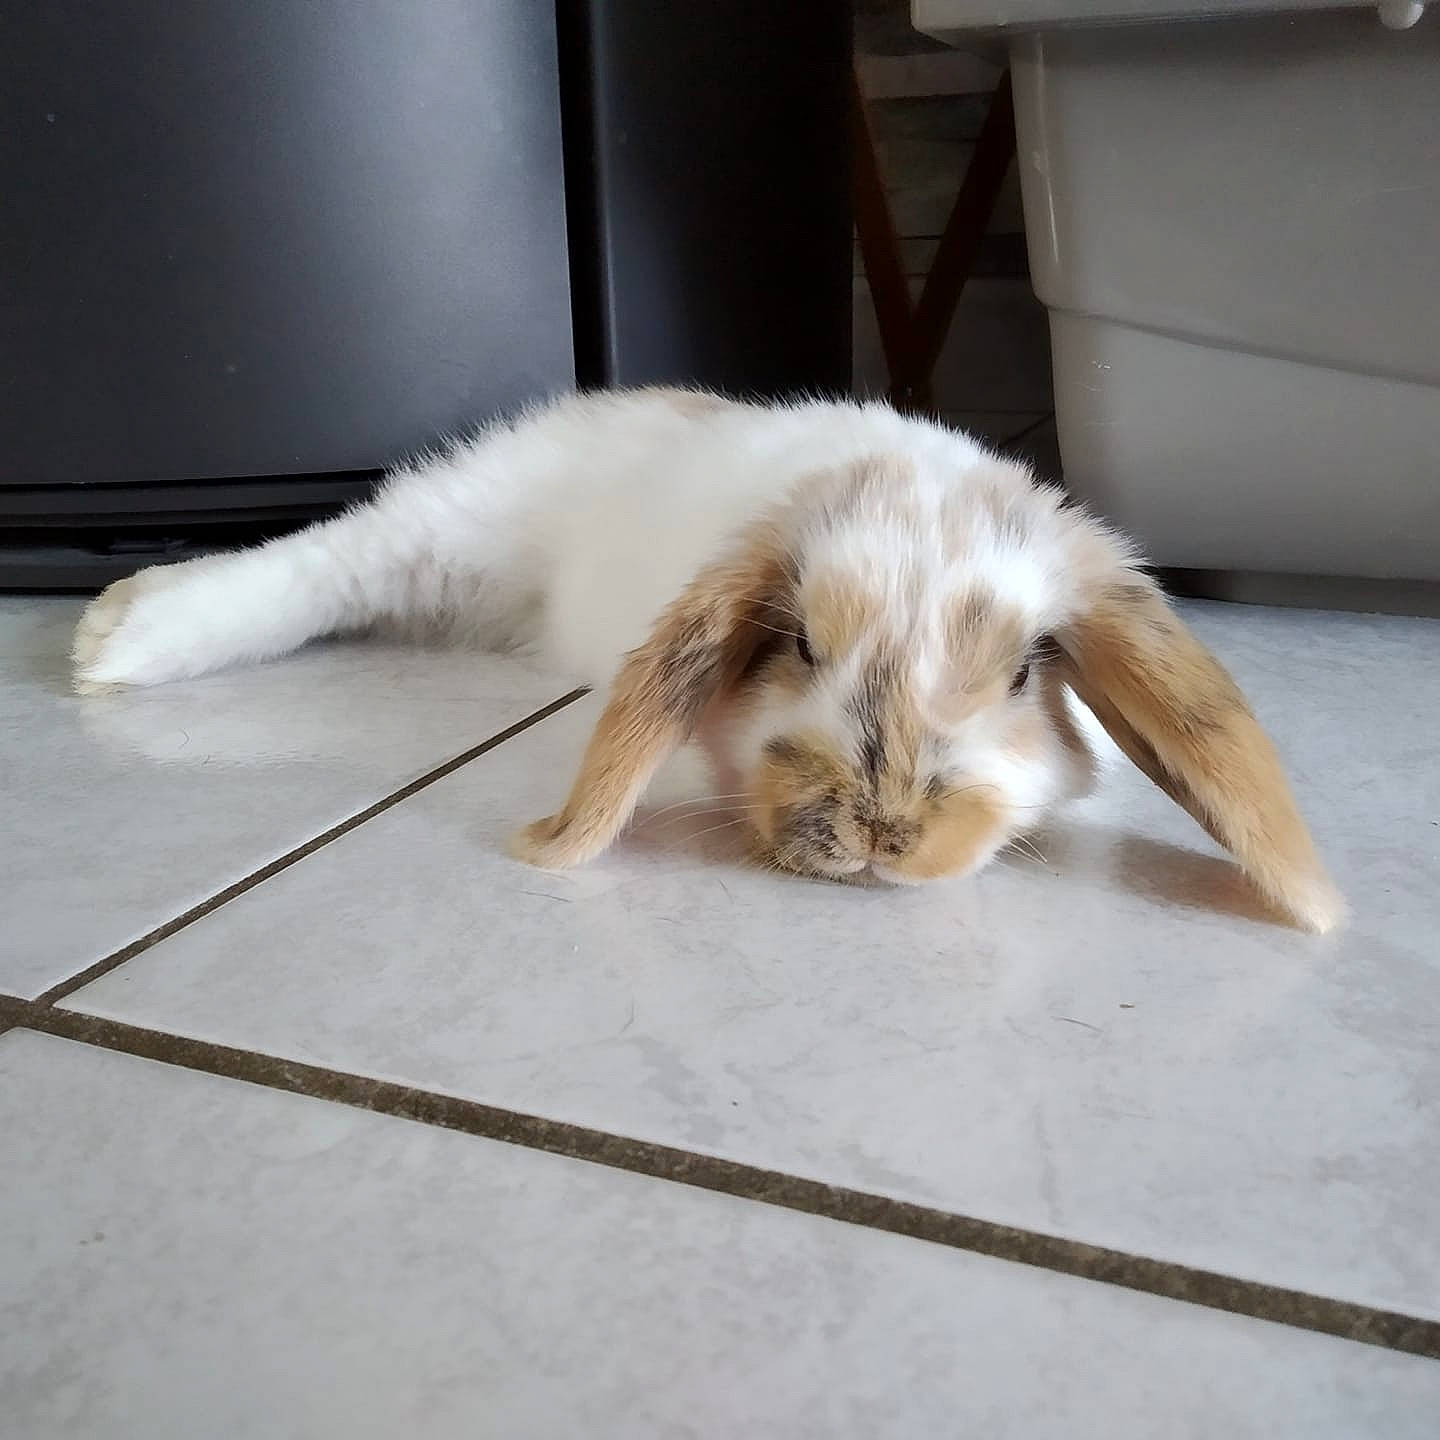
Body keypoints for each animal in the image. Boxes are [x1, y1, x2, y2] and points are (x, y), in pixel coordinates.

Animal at [71, 386, 1343, 932]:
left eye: (1024, 675)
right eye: (801, 644)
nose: (879, 834)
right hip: (453, 522)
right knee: (326, 563)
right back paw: (118, 634)